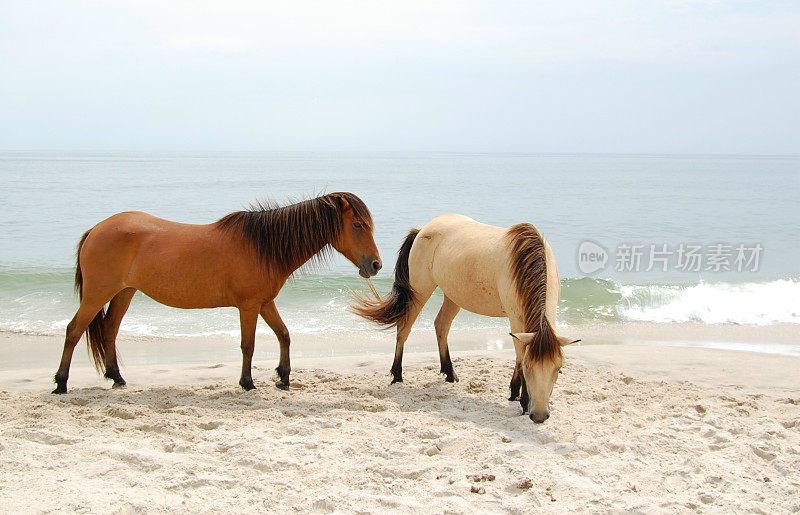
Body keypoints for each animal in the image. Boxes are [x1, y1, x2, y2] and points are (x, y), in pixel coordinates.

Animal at [53, 194, 382, 396]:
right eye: (357, 225)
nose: (376, 265)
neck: (263, 246)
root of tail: (97, 229)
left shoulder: (265, 302)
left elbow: (284, 335)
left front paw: (284, 377)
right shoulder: (249, 306)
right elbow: (248, 345)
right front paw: (248, 383)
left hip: (124, 292)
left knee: (109, 330)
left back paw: (117, 378)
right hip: (97, 294)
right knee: (73, 330)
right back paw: (61, 383)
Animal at [354, 214, 580, 424]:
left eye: (558, 369)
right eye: (529, 368)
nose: (539, 415)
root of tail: (423, 229)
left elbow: (517, 355)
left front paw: (514, 393)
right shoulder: (516, 319)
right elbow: (520, 354)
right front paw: (523, 399)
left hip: (453, 296)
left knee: (441, 326)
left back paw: (449, 373)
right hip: (419, 290)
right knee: (404, 328)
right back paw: (397, 375)